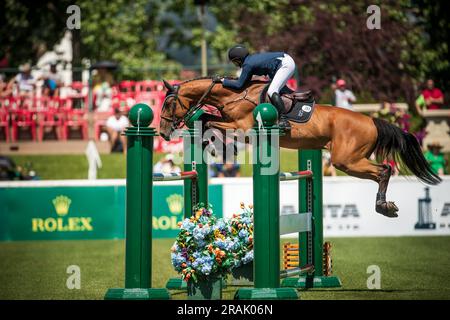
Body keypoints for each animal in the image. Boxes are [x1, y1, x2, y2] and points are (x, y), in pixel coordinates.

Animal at [160, 77, 442, 218]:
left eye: (168, 104)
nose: (163, 132)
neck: (235, 94)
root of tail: (372, 120)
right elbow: (209, 118)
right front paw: (212, 143)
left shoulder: (241, 126)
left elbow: (210, 120)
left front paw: (216, 146)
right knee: (383, 170)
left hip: (346, 160)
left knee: (384, 170)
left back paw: (384, 207)